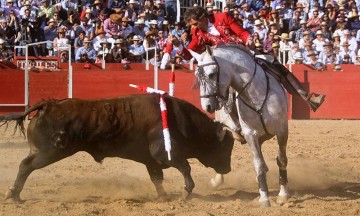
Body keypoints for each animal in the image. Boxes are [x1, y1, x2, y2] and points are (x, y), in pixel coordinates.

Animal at [0, 93, 236, 202]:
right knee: (26, 165)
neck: (182, 120)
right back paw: (13, 194)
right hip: (49, 152)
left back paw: (15, 194)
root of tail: (50, 104)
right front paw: (187, 192)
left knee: (26, 164)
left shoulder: (151, 160)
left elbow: (157, 178)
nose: (228, 169)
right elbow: (186, 168)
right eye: (226, 147)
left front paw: (163, 197)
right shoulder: (165, 153)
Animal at [190, 44, 292, 208]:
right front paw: (264, 198)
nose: (207, 106)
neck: (257, 96)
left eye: (211, 74)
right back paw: (217, 180)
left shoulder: (282, 131)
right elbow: (258, 164)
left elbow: (281, 159)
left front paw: (283, 195)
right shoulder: (250, 134)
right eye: (198, 77)